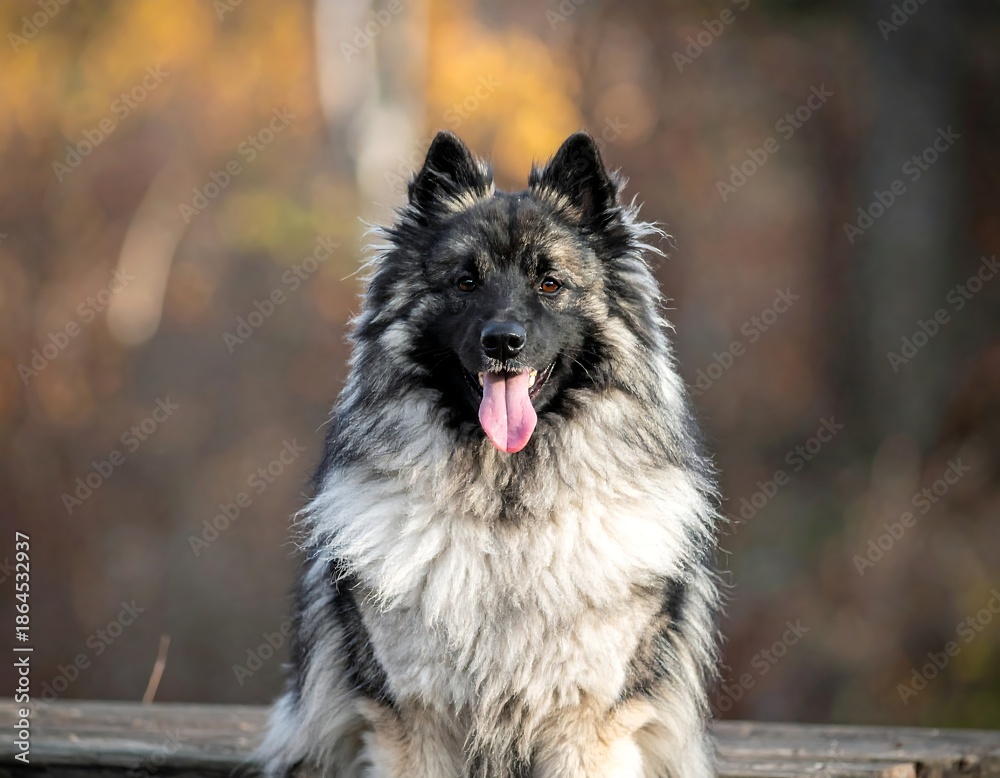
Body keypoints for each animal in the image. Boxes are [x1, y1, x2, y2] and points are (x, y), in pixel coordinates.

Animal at [257, 131, 721, 777]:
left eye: (550, 283)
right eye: (465, 283)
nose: (503, 342)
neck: (506, 516)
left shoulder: (588, 728)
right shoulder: (415, 724)